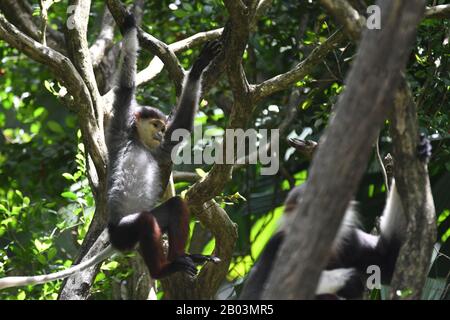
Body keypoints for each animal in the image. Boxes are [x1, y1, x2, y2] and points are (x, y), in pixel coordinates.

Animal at [239, 134, 432, 298]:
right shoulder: (275, 246)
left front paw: (418, 150)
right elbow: (257, 295)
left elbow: (390, 259)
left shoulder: (349, 240)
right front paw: (344, 279)